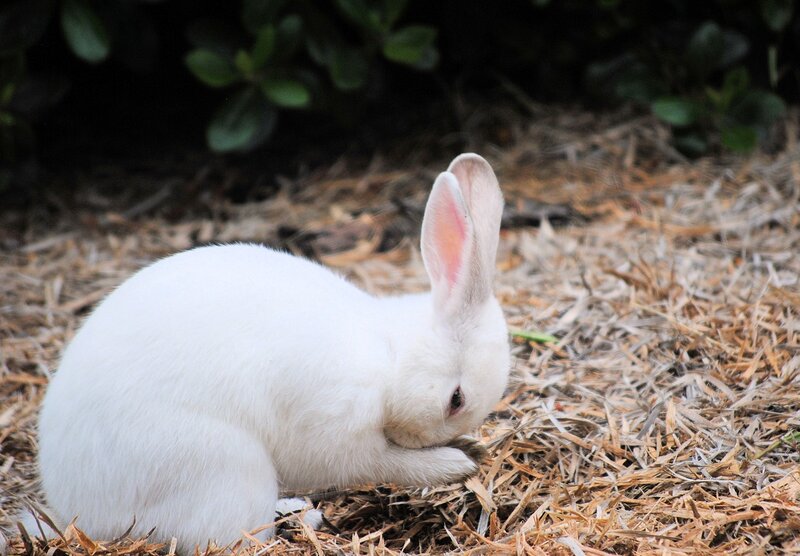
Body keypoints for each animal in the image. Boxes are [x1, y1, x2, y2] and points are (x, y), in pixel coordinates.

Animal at [25, 153, 510, 552]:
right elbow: (386, 462)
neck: (388, 356)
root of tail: (78, 512)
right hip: (226, 470)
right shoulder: (338, 431)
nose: (439, 440)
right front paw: (454, 464)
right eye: (455, 400)